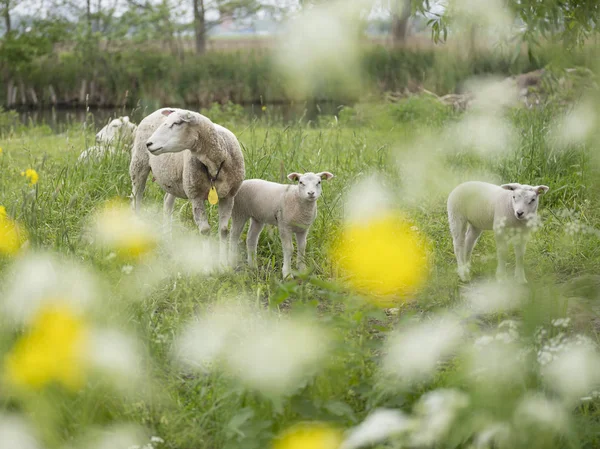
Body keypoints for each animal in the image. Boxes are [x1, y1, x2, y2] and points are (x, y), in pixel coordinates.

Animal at [130, 106, 245, 260]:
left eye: (177, 123)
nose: (149, 144)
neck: (215, 164)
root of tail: (159, 109)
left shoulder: (229, 196)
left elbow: (224, 230)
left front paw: (223, 261)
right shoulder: (195, 195)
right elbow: (205, 230)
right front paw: (207, 262)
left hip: (173, 178)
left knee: (167, 203)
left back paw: (168, 239)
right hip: (139, 164)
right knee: (136, 200)